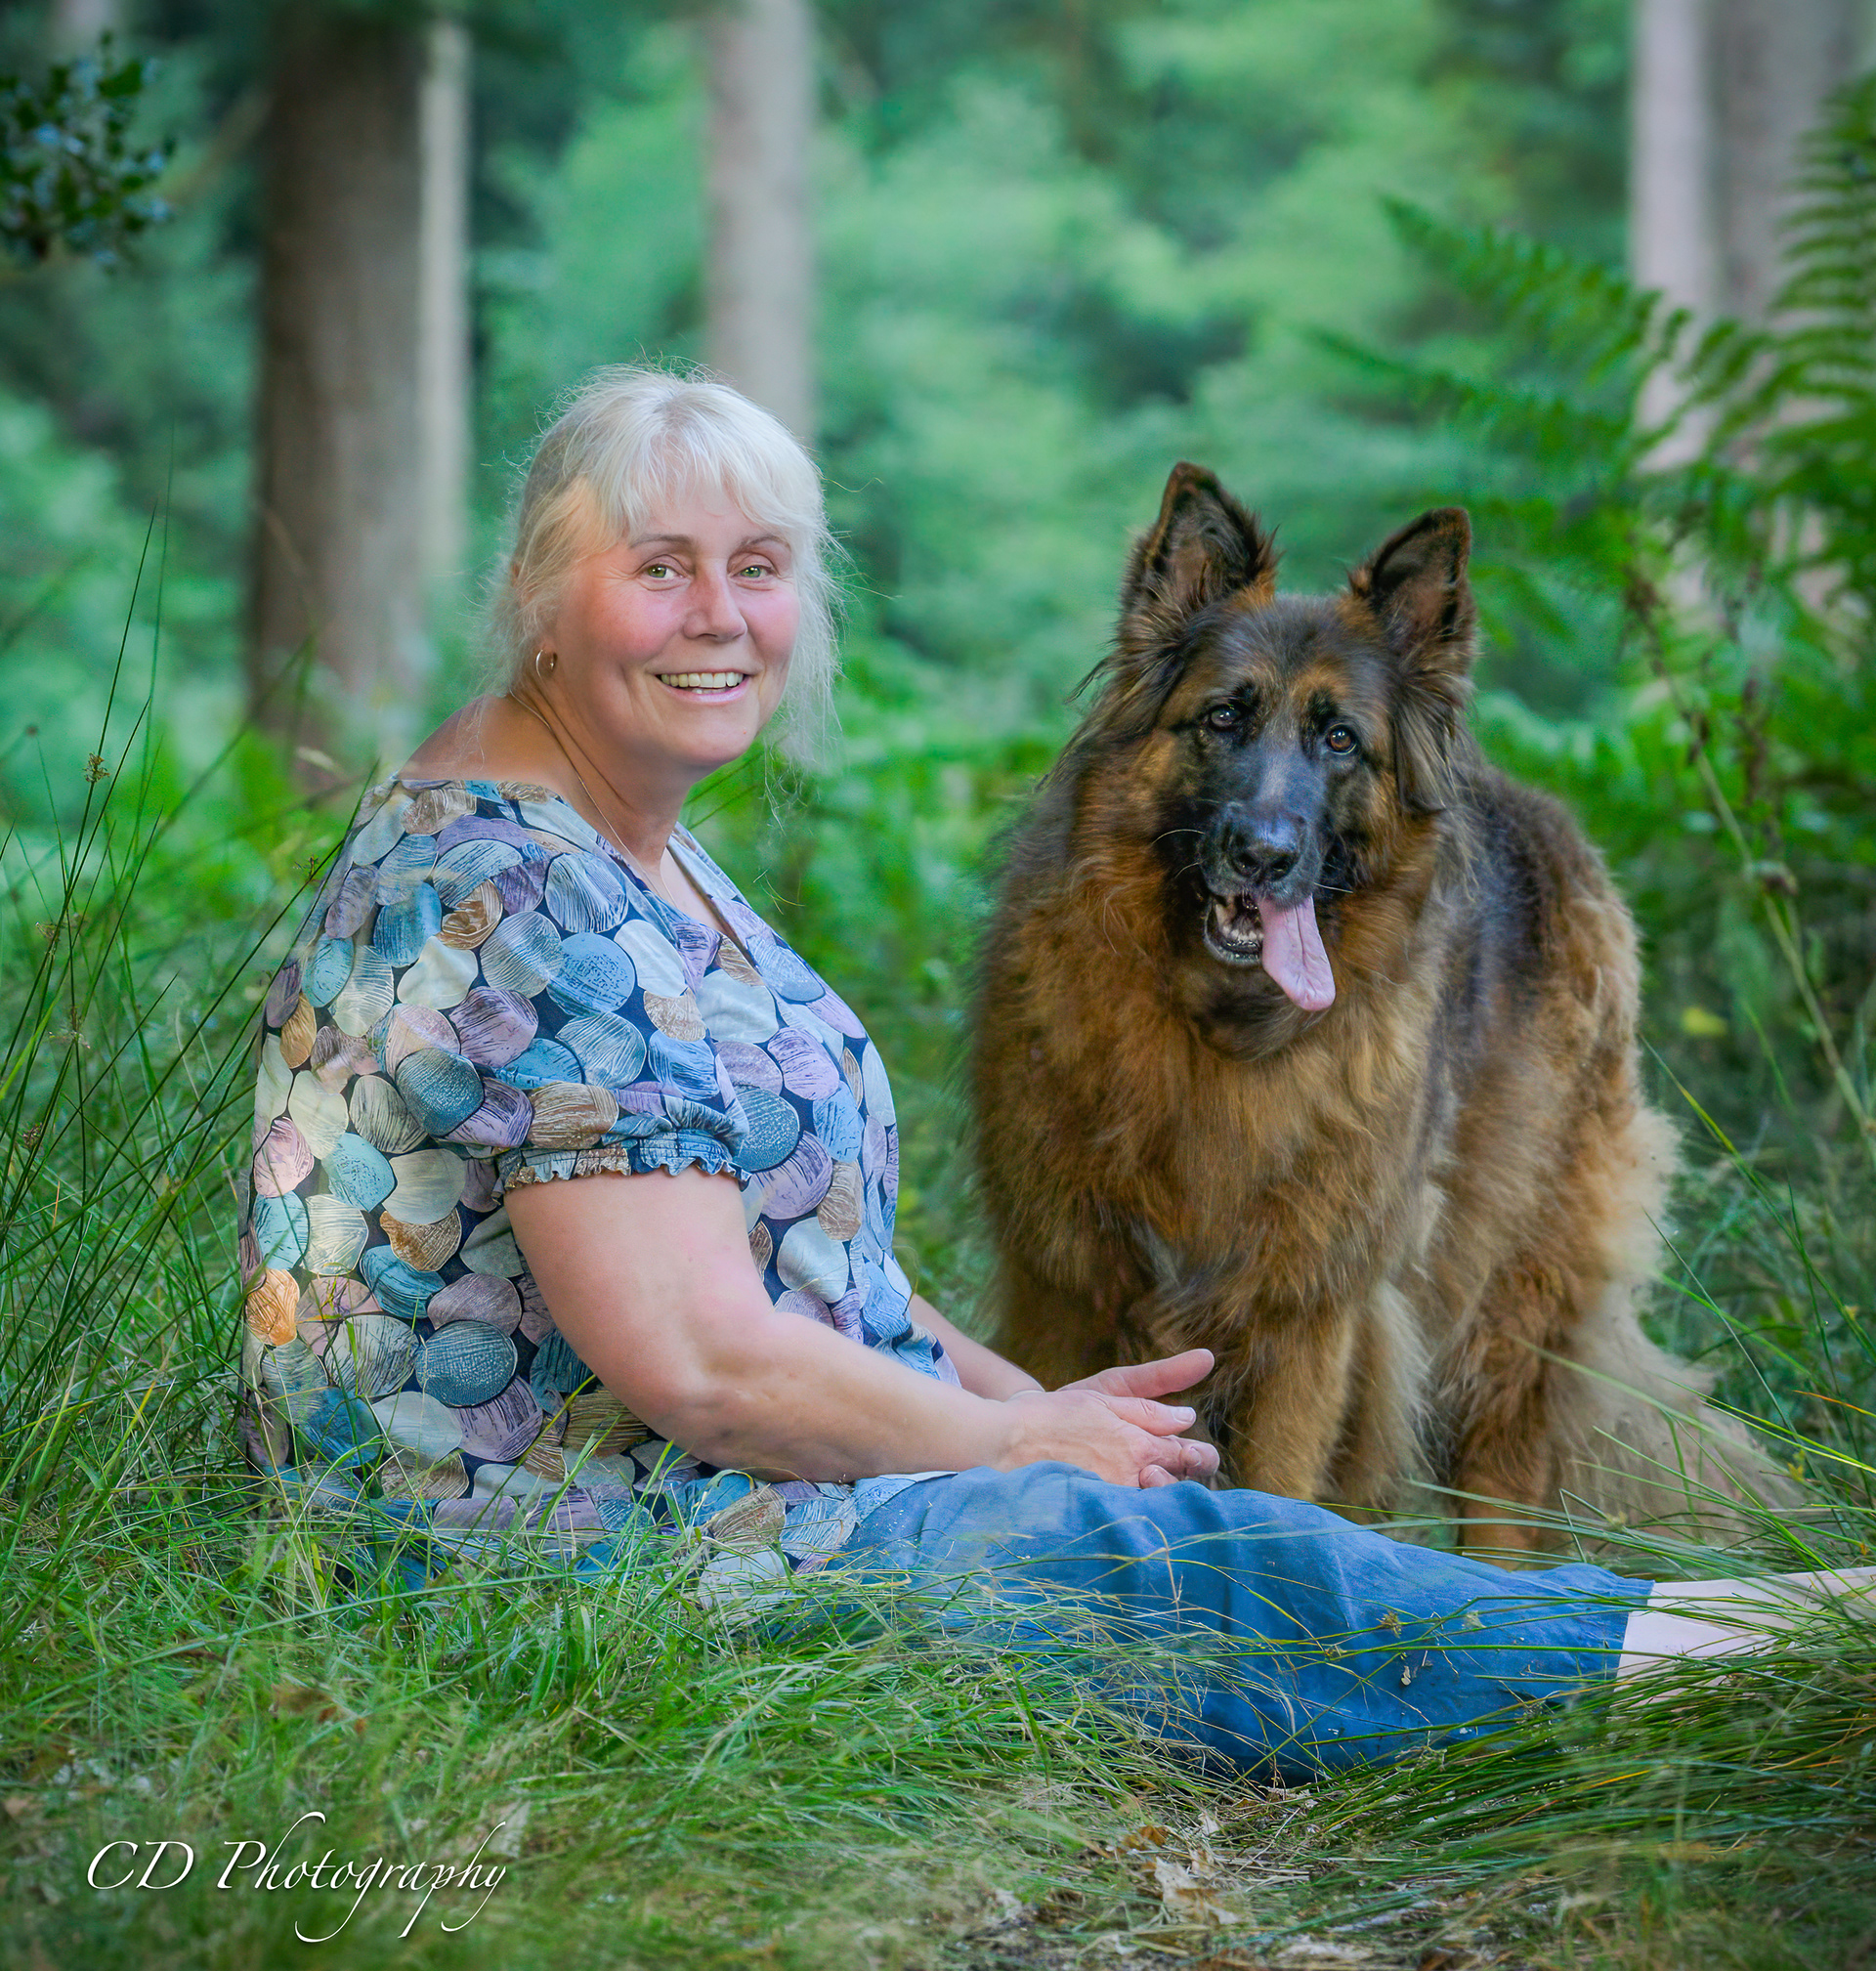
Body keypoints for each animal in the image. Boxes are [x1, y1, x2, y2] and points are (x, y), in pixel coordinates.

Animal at [971, 462, 1787, 1553]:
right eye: (1222, 718)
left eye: (1341, 740)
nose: (1264, 855)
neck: (1220, 1034)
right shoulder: (1065, 1288)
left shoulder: (1312, 1322)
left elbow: (1282, 1485)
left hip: (1506, 1304)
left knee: (1503, 1480)